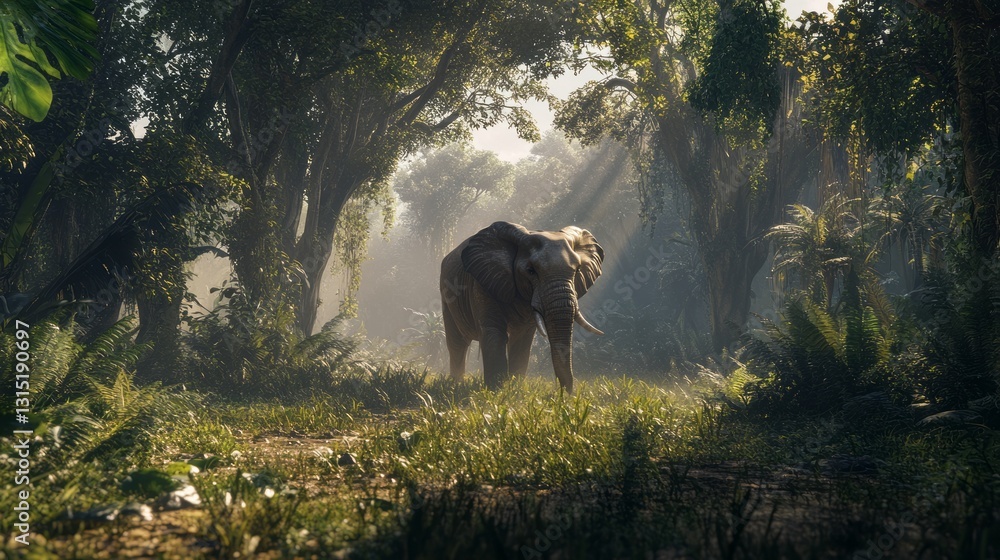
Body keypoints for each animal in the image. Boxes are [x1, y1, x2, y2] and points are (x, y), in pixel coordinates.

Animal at [440, 221, 605, 392]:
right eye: (530, 271)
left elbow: (522, 337)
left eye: (577, 270)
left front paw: (515, 388)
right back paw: (455, 384)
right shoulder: (483, 282)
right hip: (446, 294)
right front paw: (495, 391)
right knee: (457, 343)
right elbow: (494, 332)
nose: (565, 394)